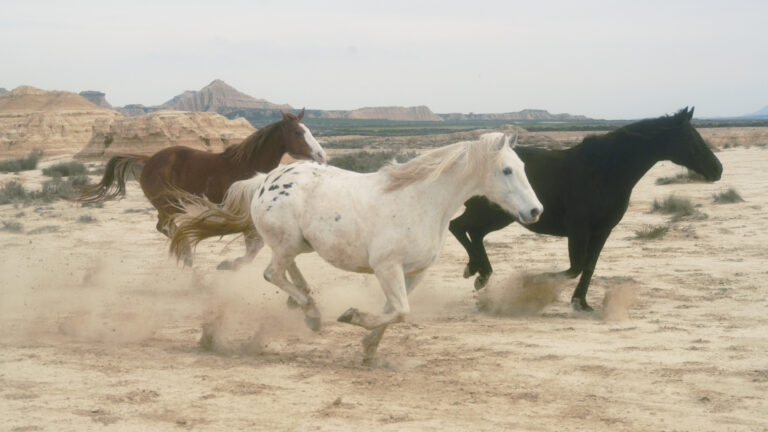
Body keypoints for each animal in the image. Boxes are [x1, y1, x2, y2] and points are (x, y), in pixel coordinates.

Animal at [79, 109, 326, 266]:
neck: (249, 165)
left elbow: (255, 247)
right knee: (166, 226)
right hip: (169, 205)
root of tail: (149, 159)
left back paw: (185, 253)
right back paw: (187, 256)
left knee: (165, 227)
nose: (321, 155)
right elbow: (253, 247)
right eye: (298, 132)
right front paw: (231, 264)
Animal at [171, 133, 544, 362]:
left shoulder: (414, 273)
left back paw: (305, 303)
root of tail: (265, 180)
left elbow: (394, 311)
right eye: (507, 170)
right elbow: (400, 311)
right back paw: (311, 312)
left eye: (525, 167)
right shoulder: (386, 267)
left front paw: (367, 348)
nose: (535, 211)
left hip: (300, 244)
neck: (420, 201)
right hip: (286, 243)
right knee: (271, 273)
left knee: (287, 270)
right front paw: (353, 318)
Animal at [450, 106, 720, 312]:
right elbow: (575, 267)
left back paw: (477, 271)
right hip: (493, 214)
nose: (718, 169)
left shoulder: (602, 230)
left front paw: (581, 302)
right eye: (691, 138)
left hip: (497, 216)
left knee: (472, 232)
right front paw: (533, 282)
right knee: (459, 227)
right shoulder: (579, 229)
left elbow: (589, 266)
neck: (603, 171)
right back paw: (479, 272)